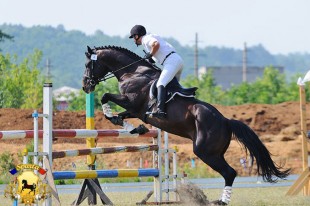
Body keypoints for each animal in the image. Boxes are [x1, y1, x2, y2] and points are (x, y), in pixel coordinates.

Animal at [81, 45, 288, 205]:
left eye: (88, 64)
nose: (85, 86)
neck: (133, 72)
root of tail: (226, 121)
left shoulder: (132, 103)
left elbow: (105, 96)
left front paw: (117, 117)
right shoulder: (136, 111)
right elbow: (120, 117)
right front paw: (135, 128)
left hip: (204, 151)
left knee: (230, 173)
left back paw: (221, 201)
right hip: (215, 152)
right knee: (229, 172)